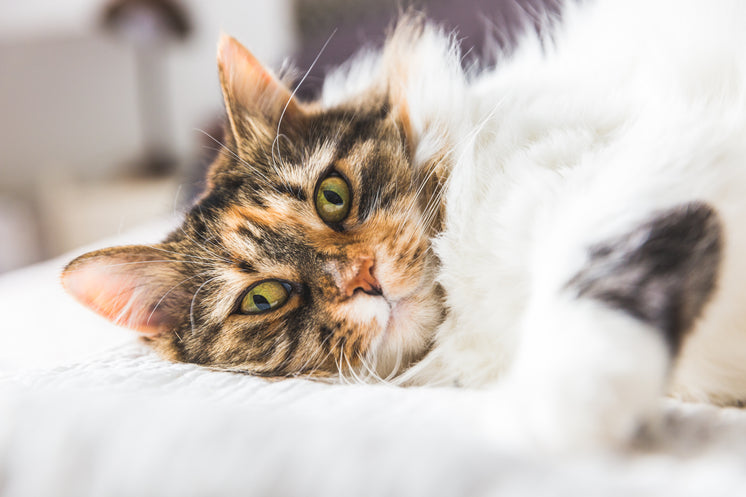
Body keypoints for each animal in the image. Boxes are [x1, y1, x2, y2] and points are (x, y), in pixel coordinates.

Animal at [61, 0, 744, 450]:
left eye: (333, 196)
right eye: (264, 298)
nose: (362, 278)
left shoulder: (649, 157)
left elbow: (601, 269)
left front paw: (560, 405)